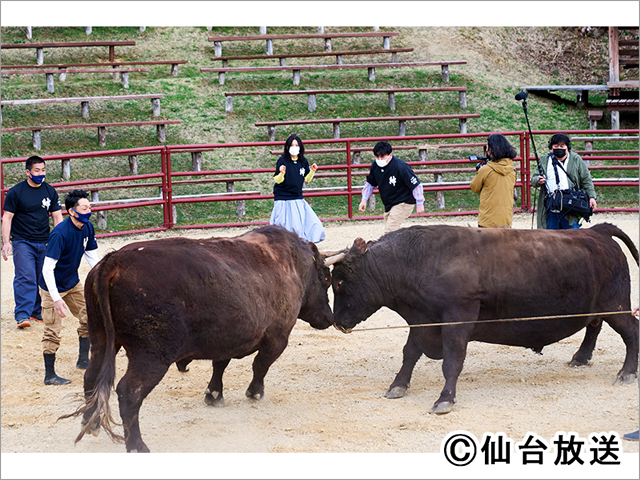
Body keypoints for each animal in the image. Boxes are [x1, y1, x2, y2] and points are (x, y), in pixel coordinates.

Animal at [330, 223, 640, 414]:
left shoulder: (457, 319)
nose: (337, 321)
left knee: (631, 332)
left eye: (340, 282)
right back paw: (580, 357)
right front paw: (398, 385)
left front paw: (445, 399)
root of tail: (597, 231)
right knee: (593, 326)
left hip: (617, 305)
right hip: (598, 307)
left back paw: (626, 372)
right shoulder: (423, 320)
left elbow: (452, 361)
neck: (420, 260)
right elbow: (409, 353)